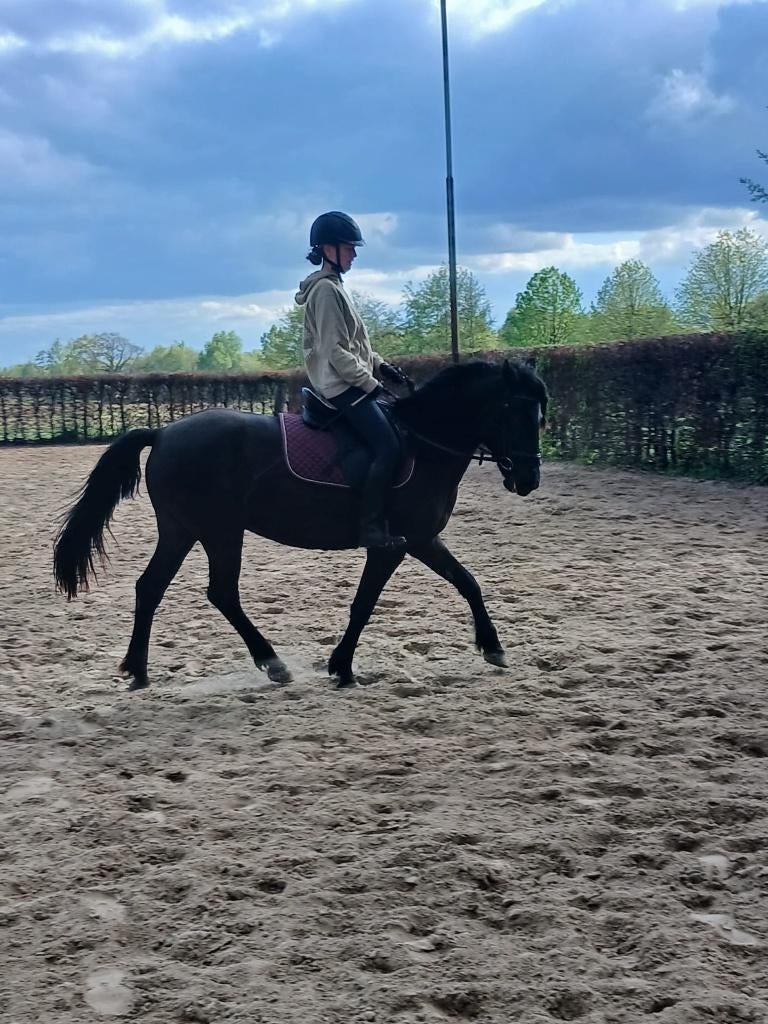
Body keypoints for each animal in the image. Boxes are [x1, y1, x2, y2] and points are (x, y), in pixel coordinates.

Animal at [53, 359, 547, 689]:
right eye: (514, 409)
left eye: (539, 414)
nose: (528, 479)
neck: (424, 445)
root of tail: (163, 433)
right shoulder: (395, 544)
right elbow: (364, 604)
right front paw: (343, 667)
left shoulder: (424, 539)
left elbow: (468, 582)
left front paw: (493, 647)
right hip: (218, 531)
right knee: (220, 593)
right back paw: (272, 663)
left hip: (183, 530)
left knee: (151, 587)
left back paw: (139, 671)